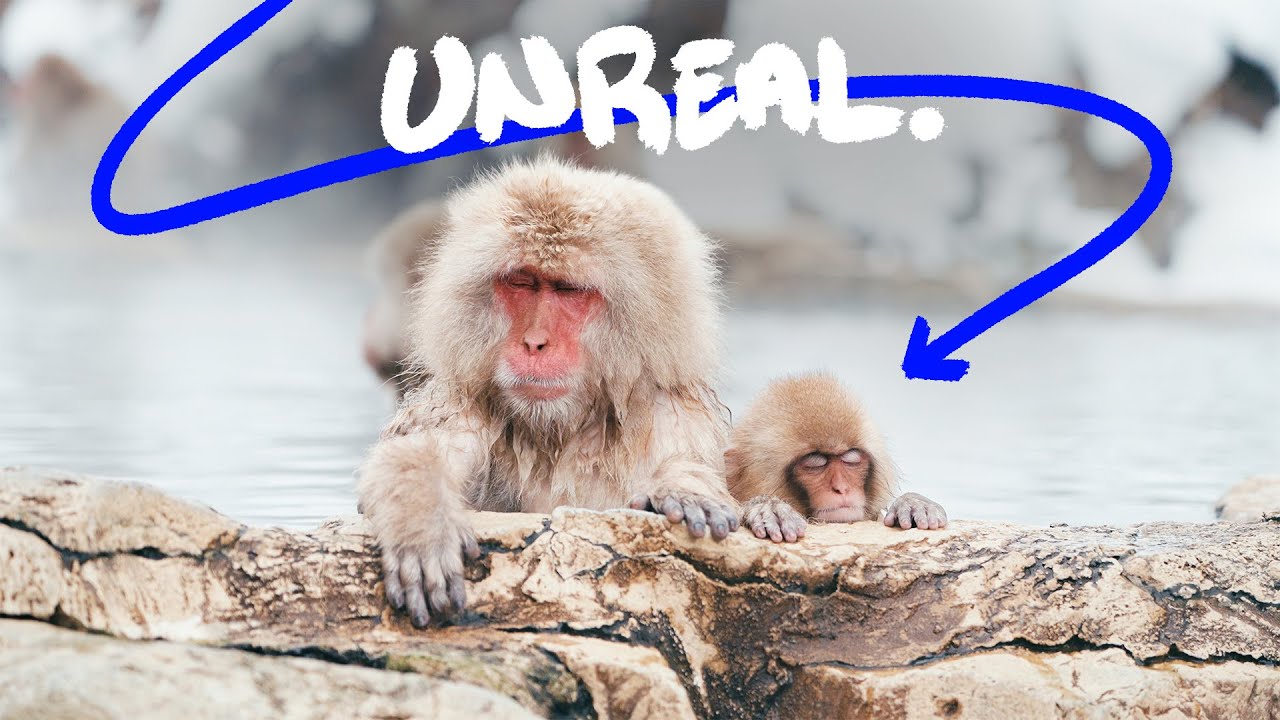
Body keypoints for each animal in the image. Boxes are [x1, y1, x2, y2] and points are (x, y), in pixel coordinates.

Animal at [358, 157, 738, 627]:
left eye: (567, 290)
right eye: (522, 283)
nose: (535, 343)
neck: (564, 428)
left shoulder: (673, 414)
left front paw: (684, 488)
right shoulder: (463, 402)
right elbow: (418, 451)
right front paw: (421, 518)